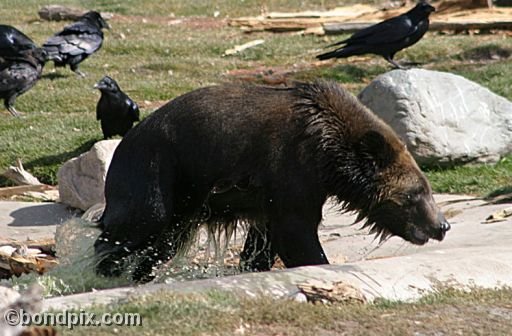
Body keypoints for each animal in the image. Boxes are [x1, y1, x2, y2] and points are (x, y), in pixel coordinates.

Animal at [94, 80, 450, 282]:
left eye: (426, 190)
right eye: (415, 194)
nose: (441, 225)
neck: (327, 154)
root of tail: (125, 143)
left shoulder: (270, 194)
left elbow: (263, 239)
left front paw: (252, 264)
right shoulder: (291, 169)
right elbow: (297, 232)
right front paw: (317, 263)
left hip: (185, 198)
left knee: (164, 241)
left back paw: (141, 273)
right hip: (157, 168)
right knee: (140, 221)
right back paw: (105, 268)